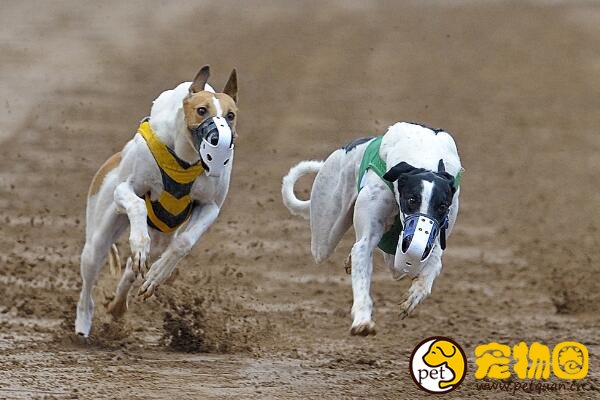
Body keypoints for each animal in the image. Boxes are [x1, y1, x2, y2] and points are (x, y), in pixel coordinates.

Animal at [74, 65, 236, 338]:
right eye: (202, 110)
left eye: (231, 115)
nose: (218, 140)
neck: (185, 158)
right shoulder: (125, 189)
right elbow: (138, 204)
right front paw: (139, 244)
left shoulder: (209, 206)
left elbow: (184, 242)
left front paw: (158, 274)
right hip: (98, 240)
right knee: (88, 286)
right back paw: (83, 326)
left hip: (161, 236)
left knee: (133, 268)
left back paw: (120, 303)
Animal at [282, 122, 464, 334]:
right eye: (412, 199)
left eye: (442, 206)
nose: (415, 238)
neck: (424, 155)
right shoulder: (370, 241)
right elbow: (362, 271)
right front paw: (362, 320)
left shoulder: (426, 241)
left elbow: (433, 261)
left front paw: (415, 294)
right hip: (324, 238)